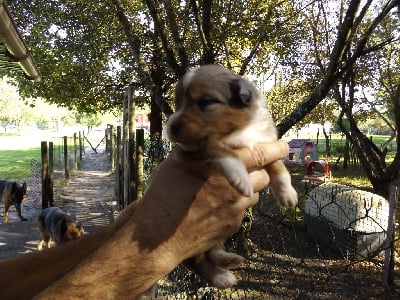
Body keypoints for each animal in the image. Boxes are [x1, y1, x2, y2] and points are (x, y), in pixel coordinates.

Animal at [167, 64, 298, 290]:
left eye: (205, 102)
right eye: (178, 104)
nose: (171, 126)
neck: (240, 131)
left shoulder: (265, 143)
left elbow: (279, 167)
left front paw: (288, 195)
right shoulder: (199, 150)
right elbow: (224, 151)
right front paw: (241, 179)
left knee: (214, 251)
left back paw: (228, 260)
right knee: (197, 260)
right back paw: (221, 277)